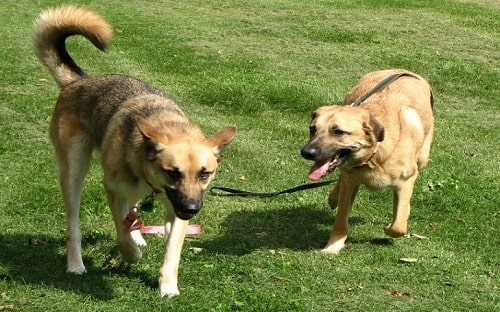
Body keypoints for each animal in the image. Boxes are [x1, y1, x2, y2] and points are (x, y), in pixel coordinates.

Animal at [33, 5, 236, 298]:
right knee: (75, 225)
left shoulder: (174, 210)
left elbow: (172, 250)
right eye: (172, 172)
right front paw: (131, 255)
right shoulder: (113, 188)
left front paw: (168, 286)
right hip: (73, 171)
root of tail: (79, 82)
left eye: (205, 174)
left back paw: (139, 233)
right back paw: (76, 263)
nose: (191, 208)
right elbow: (120, 231)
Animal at [300, 69, 434, 255]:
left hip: (423, 157)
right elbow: (341, 219)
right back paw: (334, 197)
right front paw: (333, 246)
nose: (306, 152)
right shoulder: (350, 183)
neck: (374, 155)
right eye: (312, 129)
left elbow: (398, 226)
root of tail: (400, 70)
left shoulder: (406, 180)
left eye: (338, 132)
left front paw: (391, 225)